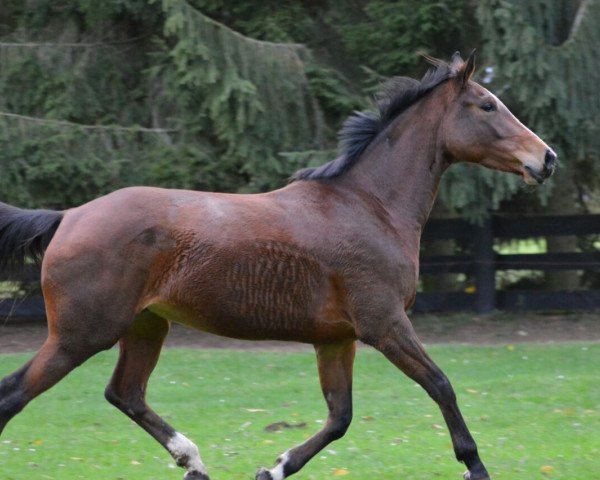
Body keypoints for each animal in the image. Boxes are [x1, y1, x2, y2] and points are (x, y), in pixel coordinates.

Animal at [0, 50, 556, 478]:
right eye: (487, 104)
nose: (546, 159)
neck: (368, 205)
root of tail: (68, 216)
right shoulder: (385, 324)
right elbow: (441, 385)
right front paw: (475, 466)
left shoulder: (336, 339)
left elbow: (340, 417)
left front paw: (273, 467)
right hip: (81, 334)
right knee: (14, 395)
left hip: (145, 325)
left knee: (125, 393)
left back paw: (193, 461)